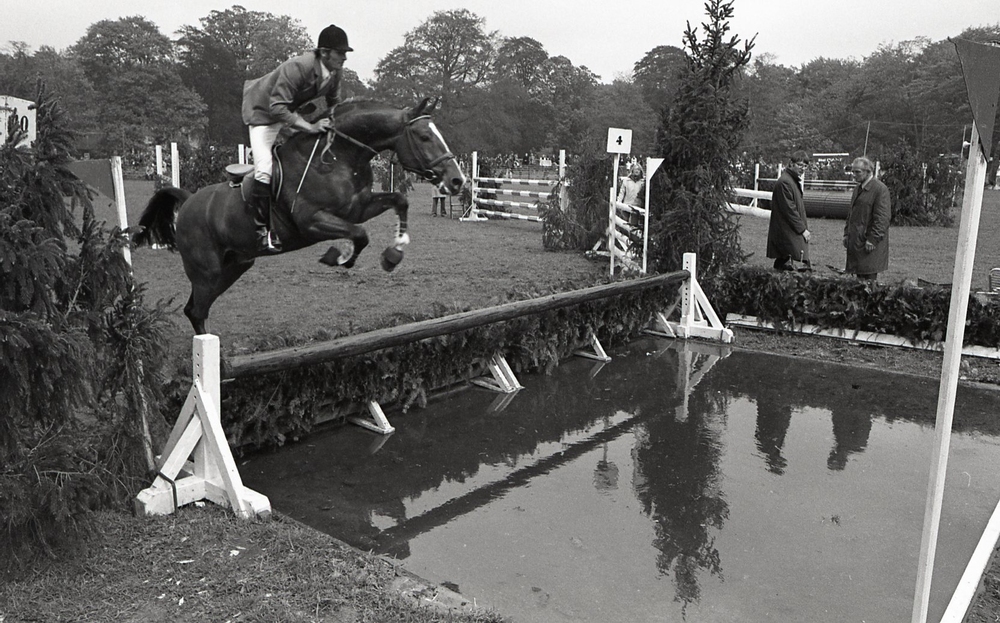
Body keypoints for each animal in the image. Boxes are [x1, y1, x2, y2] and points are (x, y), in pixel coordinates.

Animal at [133, 98, 465, 335]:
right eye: (424, 136)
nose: (457, 181)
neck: (339, 156)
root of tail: (188, 201)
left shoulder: (358, 207)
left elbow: (399, 201)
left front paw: (394, 252)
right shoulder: (311, 221)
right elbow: (360, 233)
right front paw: (339, 258)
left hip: (236, 264)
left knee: (195, 309)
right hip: (206, 270)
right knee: (198, 310)